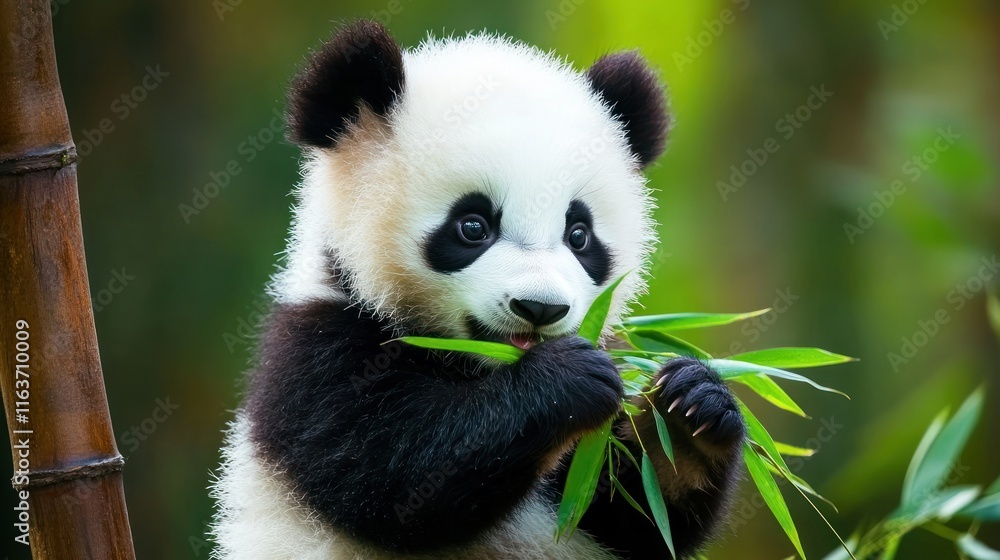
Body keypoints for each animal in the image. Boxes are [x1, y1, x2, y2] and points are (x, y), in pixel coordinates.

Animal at [211, 20, 746, 560]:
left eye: (579, 235)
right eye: (473, 226)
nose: (540, 308)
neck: (477, 364)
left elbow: (636, 515)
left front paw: (689, 413)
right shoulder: (318, 352)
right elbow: (395, 475)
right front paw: (566, 379)